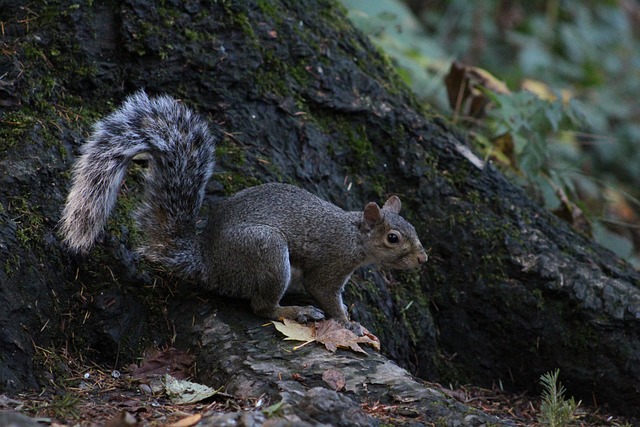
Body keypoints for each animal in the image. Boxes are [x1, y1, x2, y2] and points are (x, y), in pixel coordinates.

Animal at [61, 91, 430, 334]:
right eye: (393, 238)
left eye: (412, 229)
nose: (423, 259)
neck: (354, 234)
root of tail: (209, 265)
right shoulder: (331, 264)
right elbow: (324, 292)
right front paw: (349, 324)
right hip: (266, 252)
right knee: (262, 307)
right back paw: (295, 310)